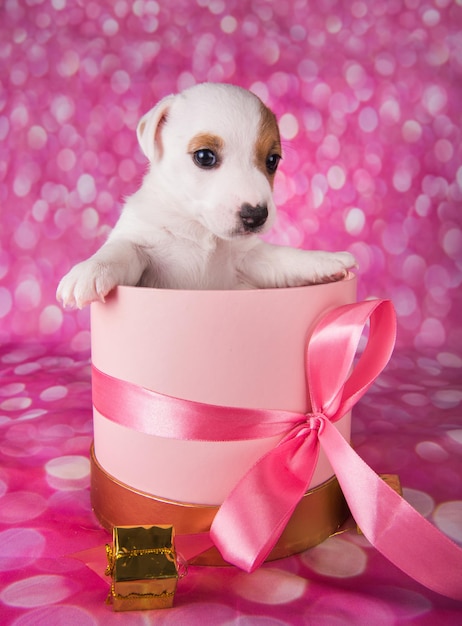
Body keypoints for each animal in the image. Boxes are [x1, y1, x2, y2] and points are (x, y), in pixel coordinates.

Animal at [56, 83, 356, 308]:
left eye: (272, 160)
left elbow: (283, 257)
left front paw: (324, 260)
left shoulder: (250, 259)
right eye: (204, 157)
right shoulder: (142, 247)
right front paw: (91, 269)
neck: (200, 230)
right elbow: (119, 249)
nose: (256, 215)